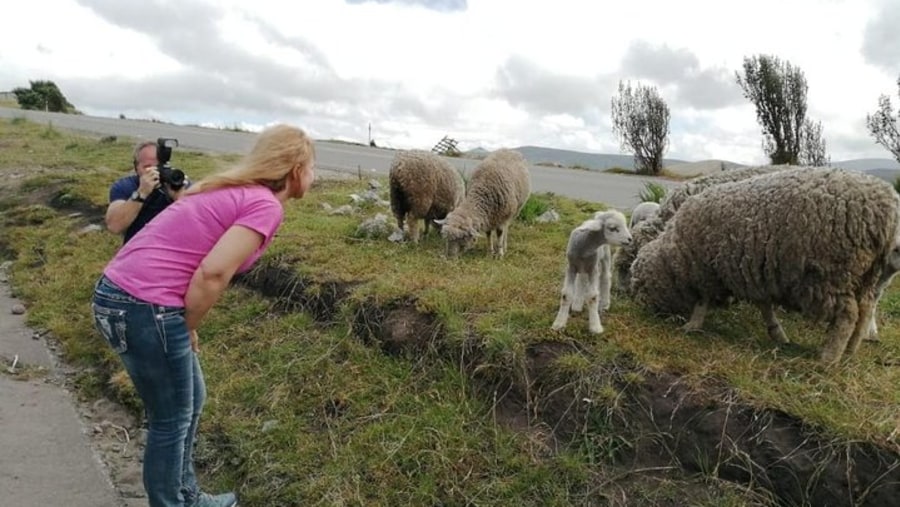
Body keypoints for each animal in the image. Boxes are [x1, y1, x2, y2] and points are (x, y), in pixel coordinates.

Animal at [628, 169, 900, 368]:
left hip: (832, 274)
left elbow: (702, 302)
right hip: (867, 275)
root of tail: (886, 210)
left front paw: (692, 325)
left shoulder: (707, 269)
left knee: (848, 315)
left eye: (641, 284)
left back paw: (828, 358)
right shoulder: (753, 272)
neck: (676, 250)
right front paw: (778, 334)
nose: (638, 306)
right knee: (865, 310)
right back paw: (851, 351)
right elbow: (765, 307)